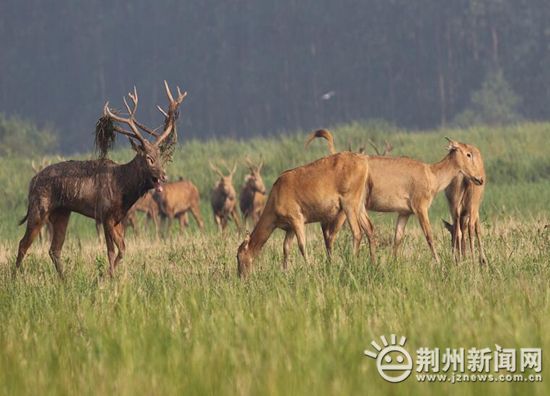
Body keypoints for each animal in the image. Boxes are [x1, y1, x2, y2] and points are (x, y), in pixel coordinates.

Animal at [14, 80, 188, 278]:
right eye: (149, 158)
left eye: (160, 158)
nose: (163, 176)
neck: (124, 189)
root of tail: (31, 182)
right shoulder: (105, 215)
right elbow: (111, 251)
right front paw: (108, 277)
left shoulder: (118, 218)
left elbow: (123, 249)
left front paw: (107, 274)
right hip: (39, 209)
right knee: (23, 244)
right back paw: (15, 278)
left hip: (62, 213)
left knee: (54, 249)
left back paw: (64, 280)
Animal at [237, 152, 376, 278]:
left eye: (238, 256)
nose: (241, 276)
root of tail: (364, 162)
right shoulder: (289, 227)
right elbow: (286, 247)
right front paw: (285, 271)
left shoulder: (296, 217)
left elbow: (302, 245)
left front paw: (309, 268)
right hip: (360, 204)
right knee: (369, 228)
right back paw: (372, 263)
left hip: (349, 202)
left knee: (357, 232)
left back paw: (352, 263)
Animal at [308, 131, 486, 266]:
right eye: (468, 154)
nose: (480, 179)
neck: (431, 173)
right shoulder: (420, 208)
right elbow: (429, 235)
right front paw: (439, 263)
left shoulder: (404, 213)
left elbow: (398, 238)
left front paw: (393, 264)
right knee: (330, 234)